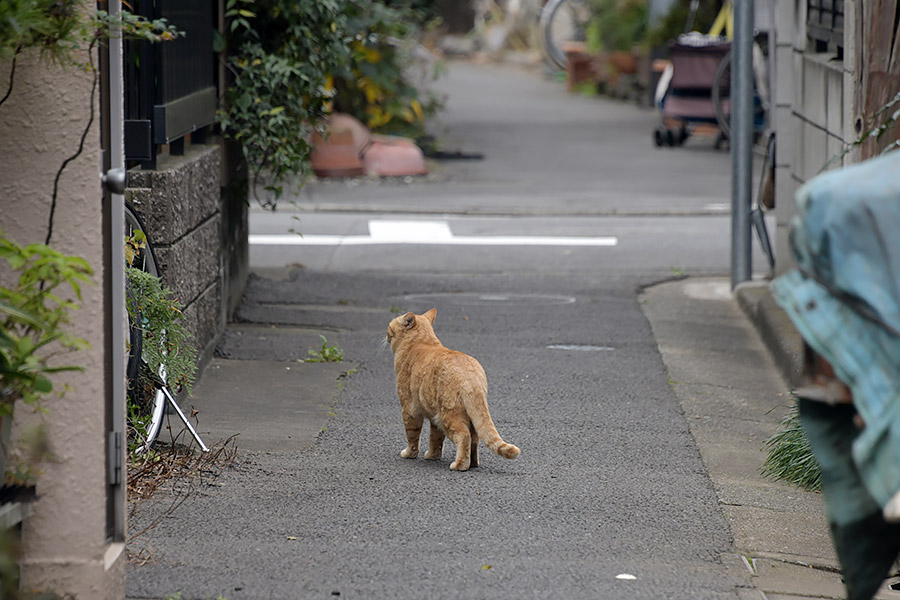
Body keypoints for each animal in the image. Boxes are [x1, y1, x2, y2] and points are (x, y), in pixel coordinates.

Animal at [386, 310, 520, 474]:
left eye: (389, 326)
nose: (386, 335)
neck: (421, 342)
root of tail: (472, 377)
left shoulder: (409, 410)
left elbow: (412, 436)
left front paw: (409, 454)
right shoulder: (433, 417)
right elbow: (435, 439)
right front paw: (432, 456)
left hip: (448, 416)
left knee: (464, 436)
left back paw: (460, 465)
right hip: (465, 417)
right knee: (474, 439)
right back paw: (473, 463)